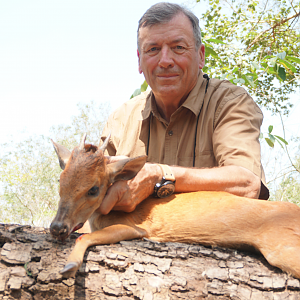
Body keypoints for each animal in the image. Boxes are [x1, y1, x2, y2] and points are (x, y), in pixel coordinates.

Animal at [50, 134, 300, 278]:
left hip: (282, 245)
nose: (57, 227)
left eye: (94, 189)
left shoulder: (135, 227)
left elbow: (85, 237)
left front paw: (69, 266)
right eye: (60, 180)